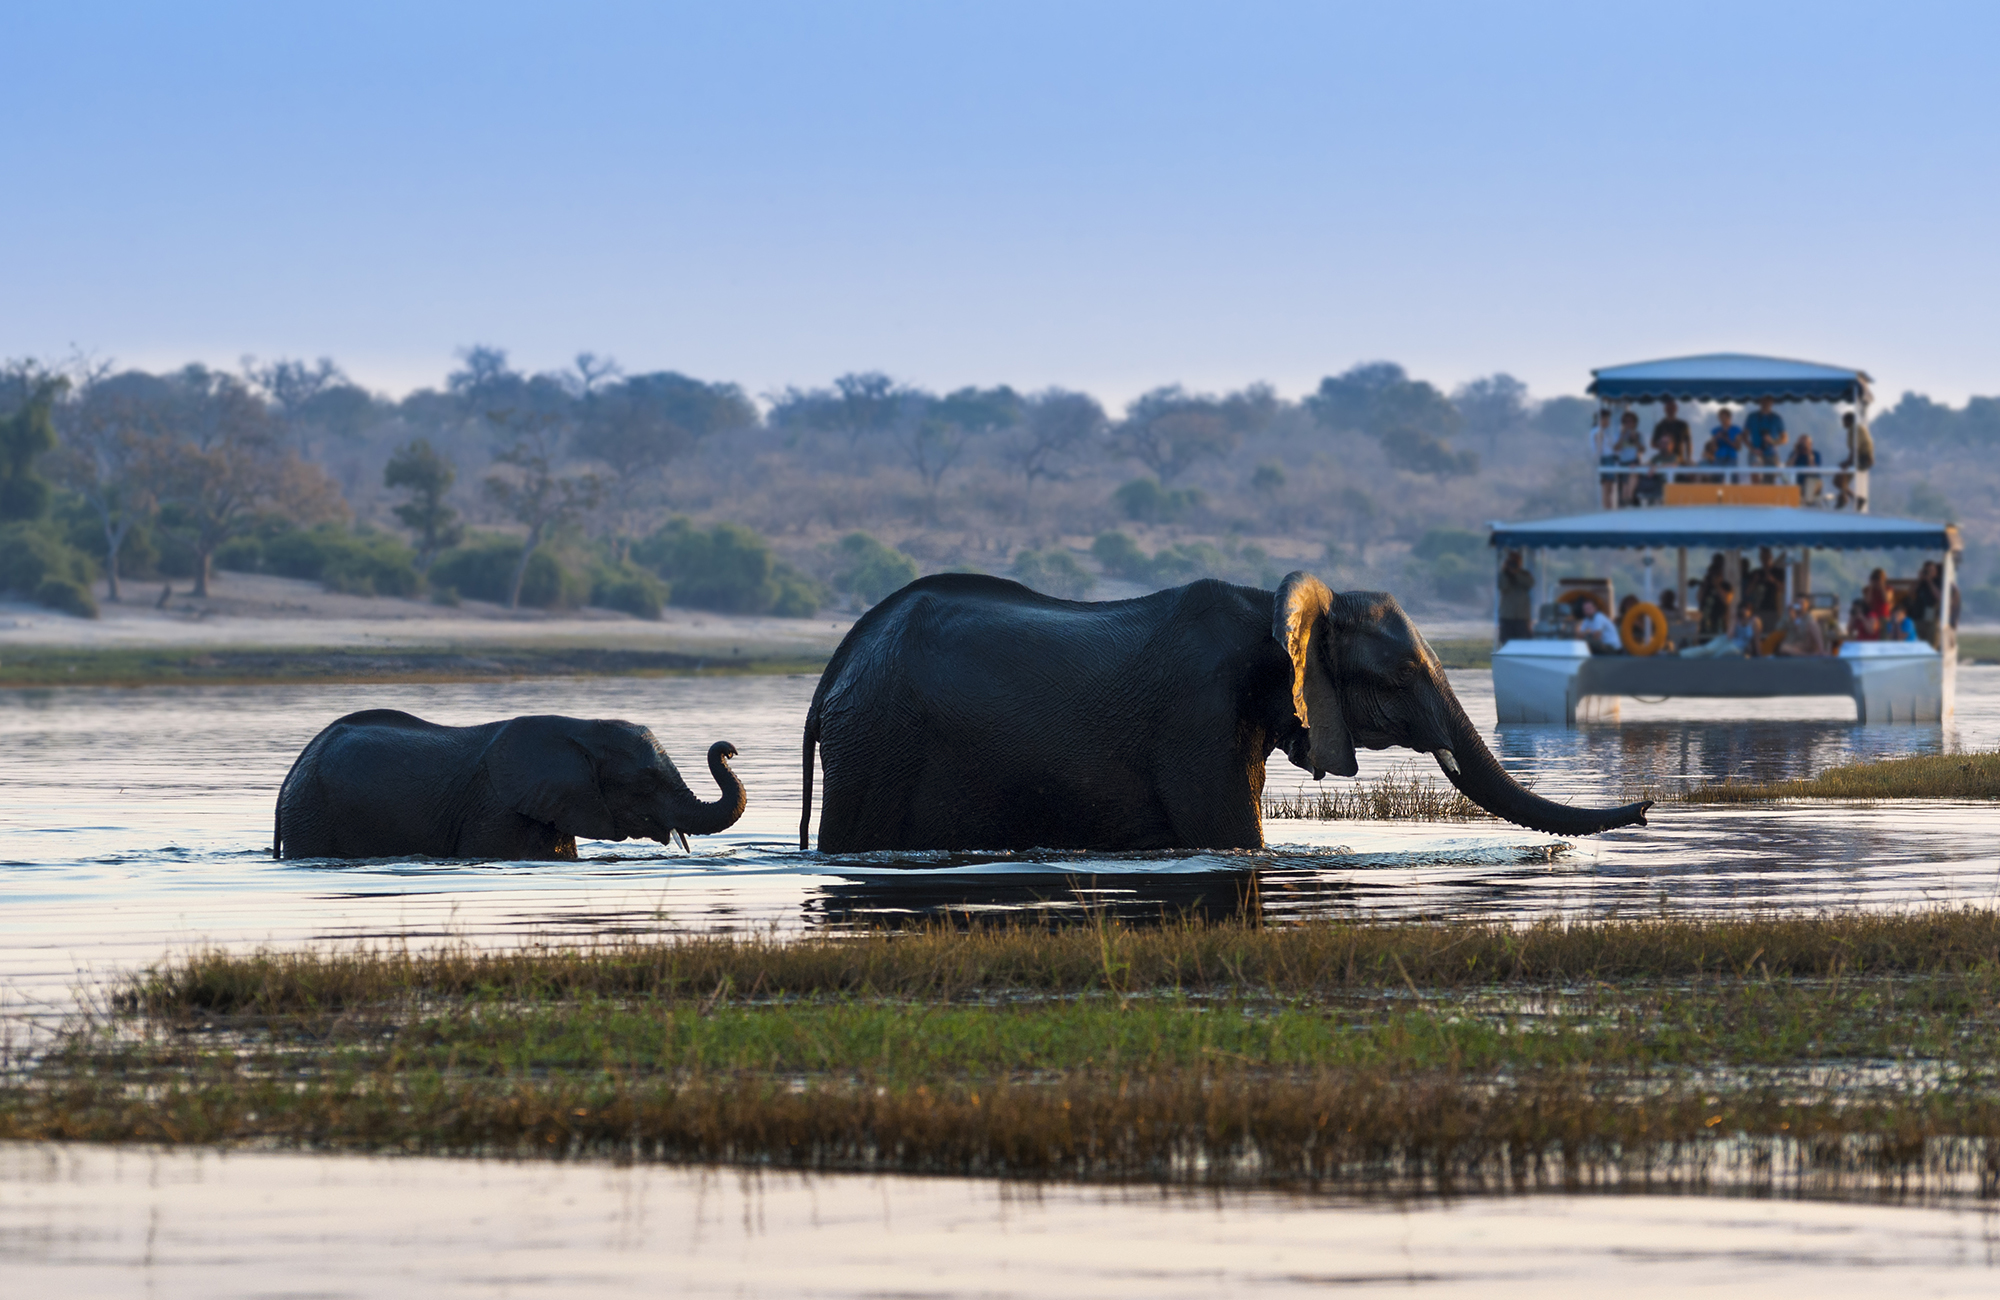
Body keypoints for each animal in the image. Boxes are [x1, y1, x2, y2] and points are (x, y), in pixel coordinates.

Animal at [799, 572, 1649, 852]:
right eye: (1405, 672)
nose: (1645, 807)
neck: (1270, 609)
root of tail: (838, 663)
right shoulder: (1195, 718)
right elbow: (1235, 839)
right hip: (877, 741)